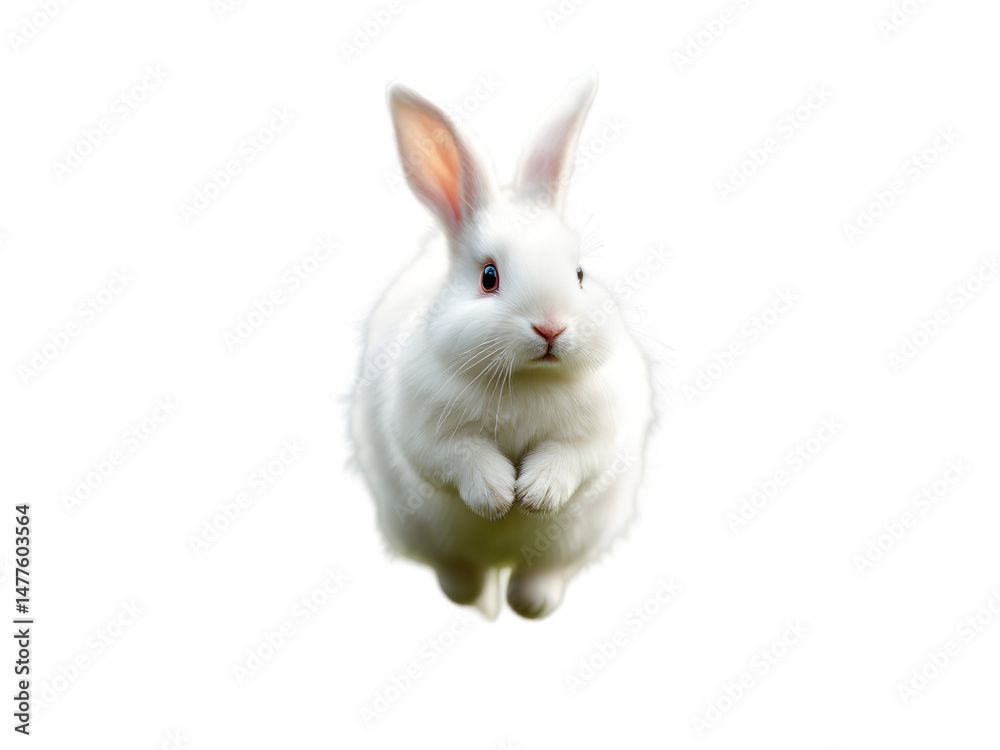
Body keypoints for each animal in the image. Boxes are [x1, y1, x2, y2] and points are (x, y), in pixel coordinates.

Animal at [350, 71, 653, 619]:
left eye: (580, 274)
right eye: (488, 277)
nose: (551, 329)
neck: (528, 378)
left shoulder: (596, 435)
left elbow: (570, 458)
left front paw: (534, 494)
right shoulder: (430, 435)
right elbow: (462, 458)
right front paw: (498, 498)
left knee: (541, 574)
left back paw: (530, 601)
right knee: (461, 574)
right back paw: (481, 597)